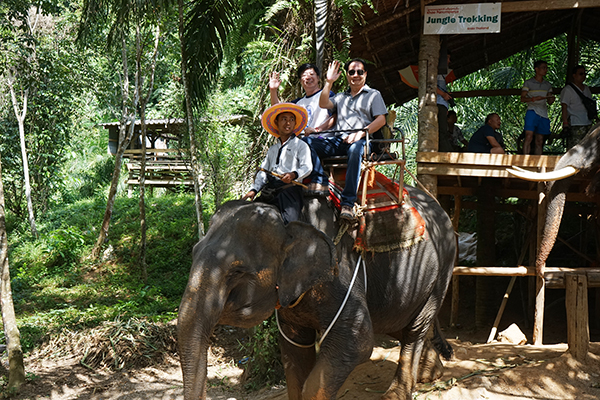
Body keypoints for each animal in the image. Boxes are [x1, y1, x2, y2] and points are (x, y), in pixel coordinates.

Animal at [178, 184, 457, 400]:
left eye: (236, 271)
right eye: (193, 252)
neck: (288, 216)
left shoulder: (341, 271)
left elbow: (357, 340)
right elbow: (294, 349)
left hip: (442, 269)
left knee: (415, 329)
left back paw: (397, 394)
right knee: (400, 323)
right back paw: (430, 374)